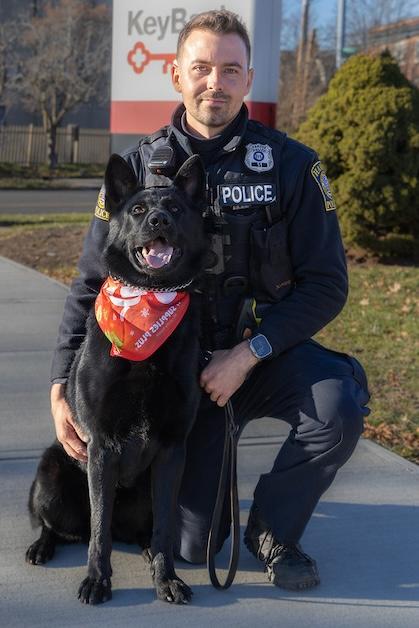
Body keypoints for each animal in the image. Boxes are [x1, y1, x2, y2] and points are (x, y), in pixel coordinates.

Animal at [26, 152, 210, 604]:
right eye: (139, 210)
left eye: (175, 208)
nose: (159, 220)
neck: (147, 298)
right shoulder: (102, 448)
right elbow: (98, 531)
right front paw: (97, 579)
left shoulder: (171, 450)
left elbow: (163, 529)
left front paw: (167, 578)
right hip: (52, 474)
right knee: (59, 526)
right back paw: (42, 546)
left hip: (147, 490)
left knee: (146, 529)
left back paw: (146, 552)